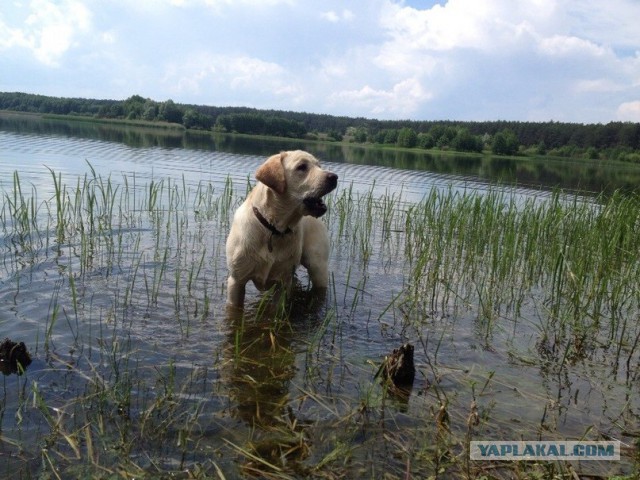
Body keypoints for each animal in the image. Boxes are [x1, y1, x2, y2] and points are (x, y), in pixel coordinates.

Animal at [225, 150, 338, 308]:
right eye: (302, 167)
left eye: (319, 166)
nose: (334, 177)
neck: (272, 228)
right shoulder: (236, 281)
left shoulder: (282, 282)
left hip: (317, 266)